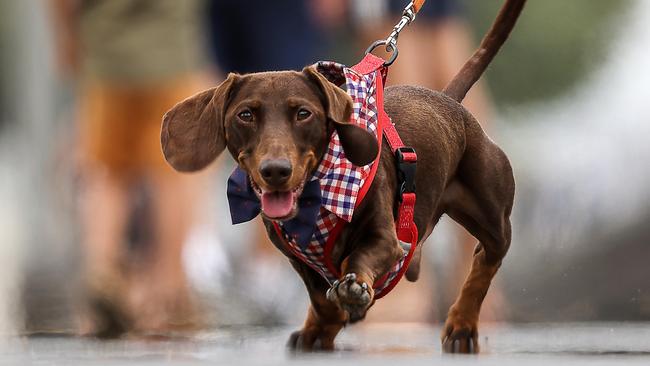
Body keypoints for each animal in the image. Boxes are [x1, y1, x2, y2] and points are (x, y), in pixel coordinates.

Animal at [161, 0, 520, 354]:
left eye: (304, 113)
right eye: (245, 115)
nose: (276, 171)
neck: (315, 201)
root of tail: (449, 102)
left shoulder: (386, 239)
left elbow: (358, 258)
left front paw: (355, 290)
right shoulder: (298, 258)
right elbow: (321, 299)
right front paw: (321, 327)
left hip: (492, 218)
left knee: (485, 261)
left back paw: (462, 326)